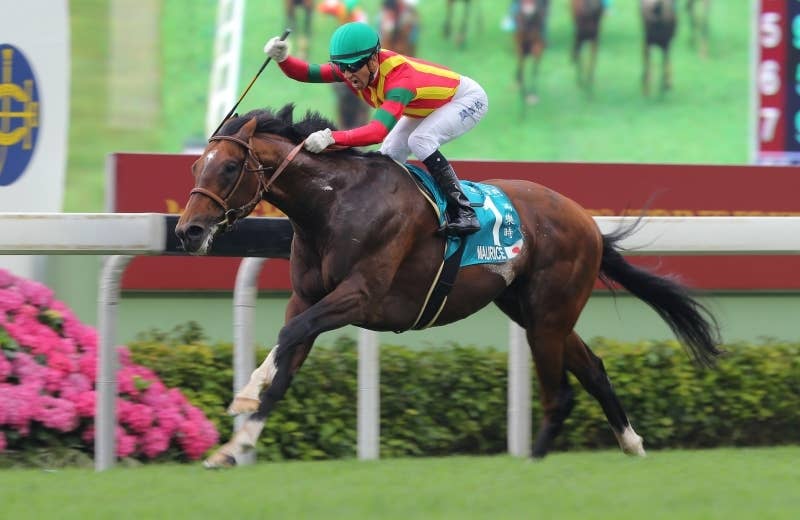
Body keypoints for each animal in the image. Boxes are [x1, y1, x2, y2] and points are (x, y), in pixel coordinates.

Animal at [175, 105, 722, 468]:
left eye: (229, 166)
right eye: (196, 165)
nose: (188, 232)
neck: (331, 204)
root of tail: (588, 222)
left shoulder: (358, 296)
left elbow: (288, 338)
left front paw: (244, 397)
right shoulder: (307, 298)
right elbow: (288, 361)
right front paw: (235, 445)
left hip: (548, 313)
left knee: (561, 390)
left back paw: (534, 461)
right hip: (532, 310)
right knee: (592, 369)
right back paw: (631, 443)